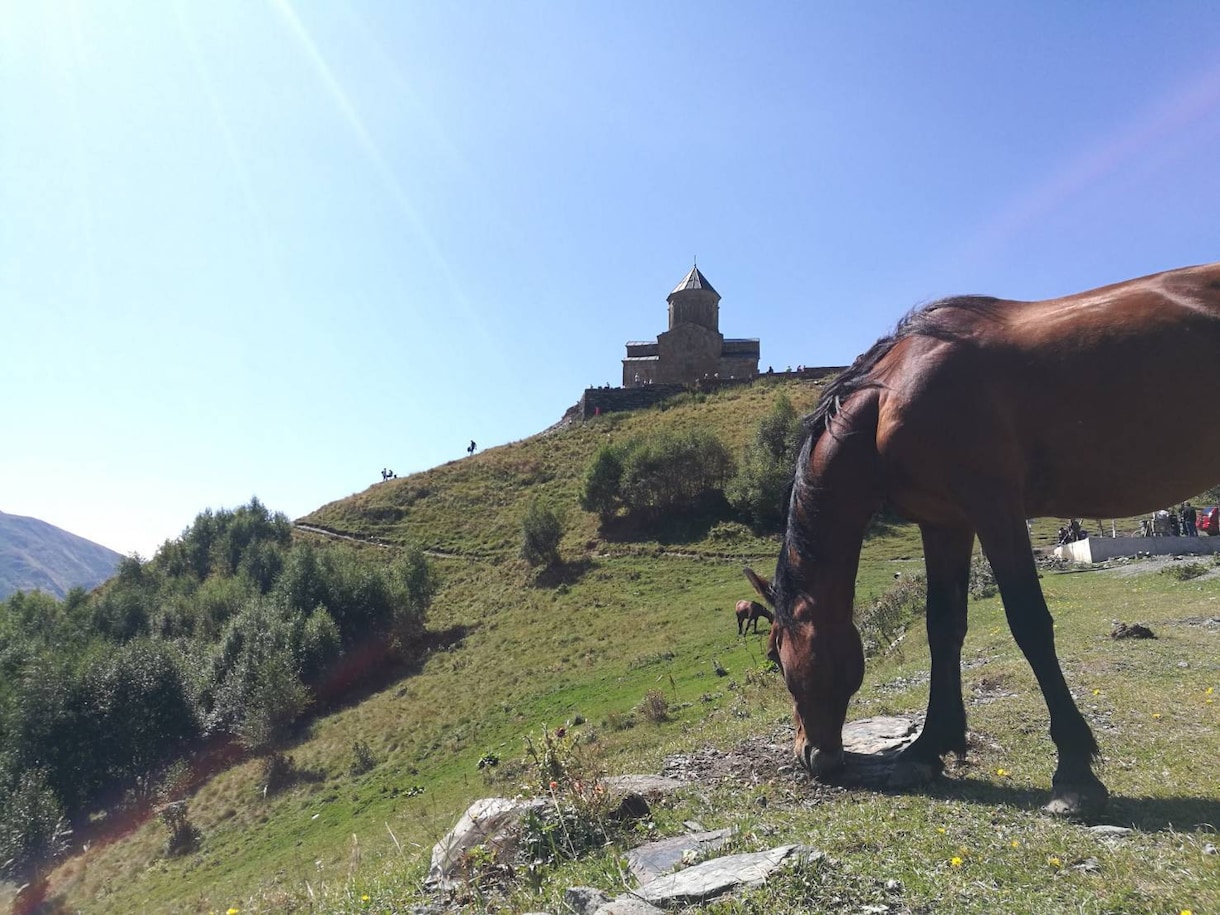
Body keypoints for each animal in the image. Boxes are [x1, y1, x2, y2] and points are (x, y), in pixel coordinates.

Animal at [741, 263, 1220, 814]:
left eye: (775, 656)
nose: (809, 754)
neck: (893, 393)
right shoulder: (945, 523)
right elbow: (943, 627)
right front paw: (928, 748)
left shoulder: (995, 510)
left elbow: (1029, 623)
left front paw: (1074, 772)